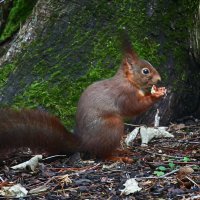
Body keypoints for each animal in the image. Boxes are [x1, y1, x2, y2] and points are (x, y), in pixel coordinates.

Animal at [0, 36, 166, 161]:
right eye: (145, 71)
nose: (159, 79)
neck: (128, 80)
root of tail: (84, 142)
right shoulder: (125, 94)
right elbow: (134, 107)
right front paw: (156, 95)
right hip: (111, 126)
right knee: (102, 154)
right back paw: (117, 157)